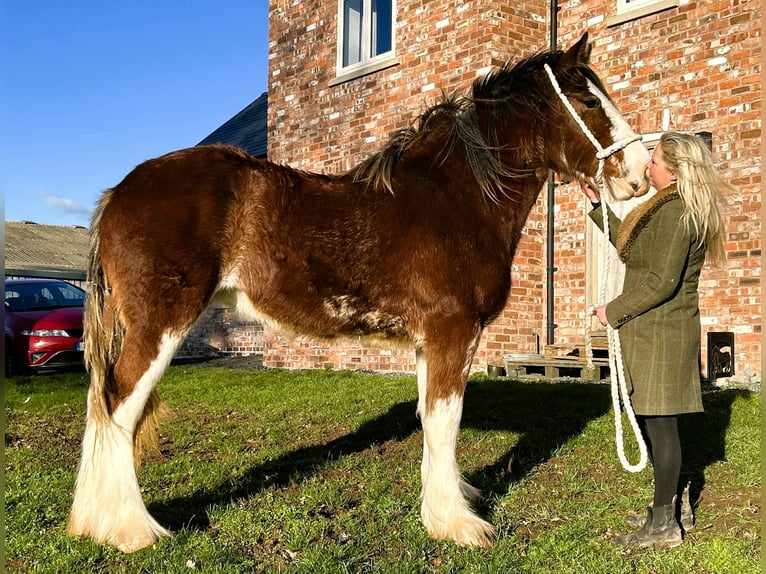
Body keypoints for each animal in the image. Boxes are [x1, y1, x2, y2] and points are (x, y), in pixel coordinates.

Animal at [68, 33, 650, 553]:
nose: (641, 174)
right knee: (118, 408)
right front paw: (457, 525)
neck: (455, 198)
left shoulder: (430, 342)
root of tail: (117, 193)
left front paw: (447, 503)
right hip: (160, 324)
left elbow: (431, 421)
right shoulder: (453, 331)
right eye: (588, 100)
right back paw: (131, 530)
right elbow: (446, 420)